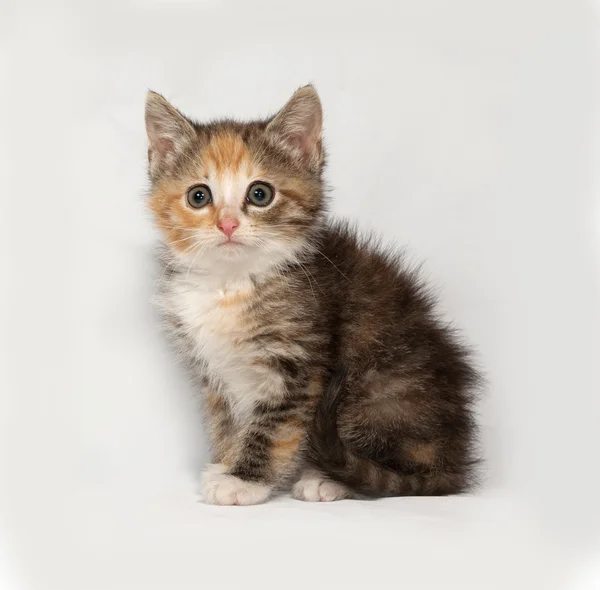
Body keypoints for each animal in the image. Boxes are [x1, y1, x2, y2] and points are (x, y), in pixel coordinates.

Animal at [146, 85, 482, 506]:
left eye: (260, 194)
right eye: (198, 196)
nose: (227, 225)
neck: (232, 282)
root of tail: (454, 461)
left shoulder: (297, 363)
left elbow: (274, 426)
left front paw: (245, 481)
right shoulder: (215, 372)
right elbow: (225, 421)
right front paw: (226, 462)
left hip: (376, 390)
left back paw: (328, 480)